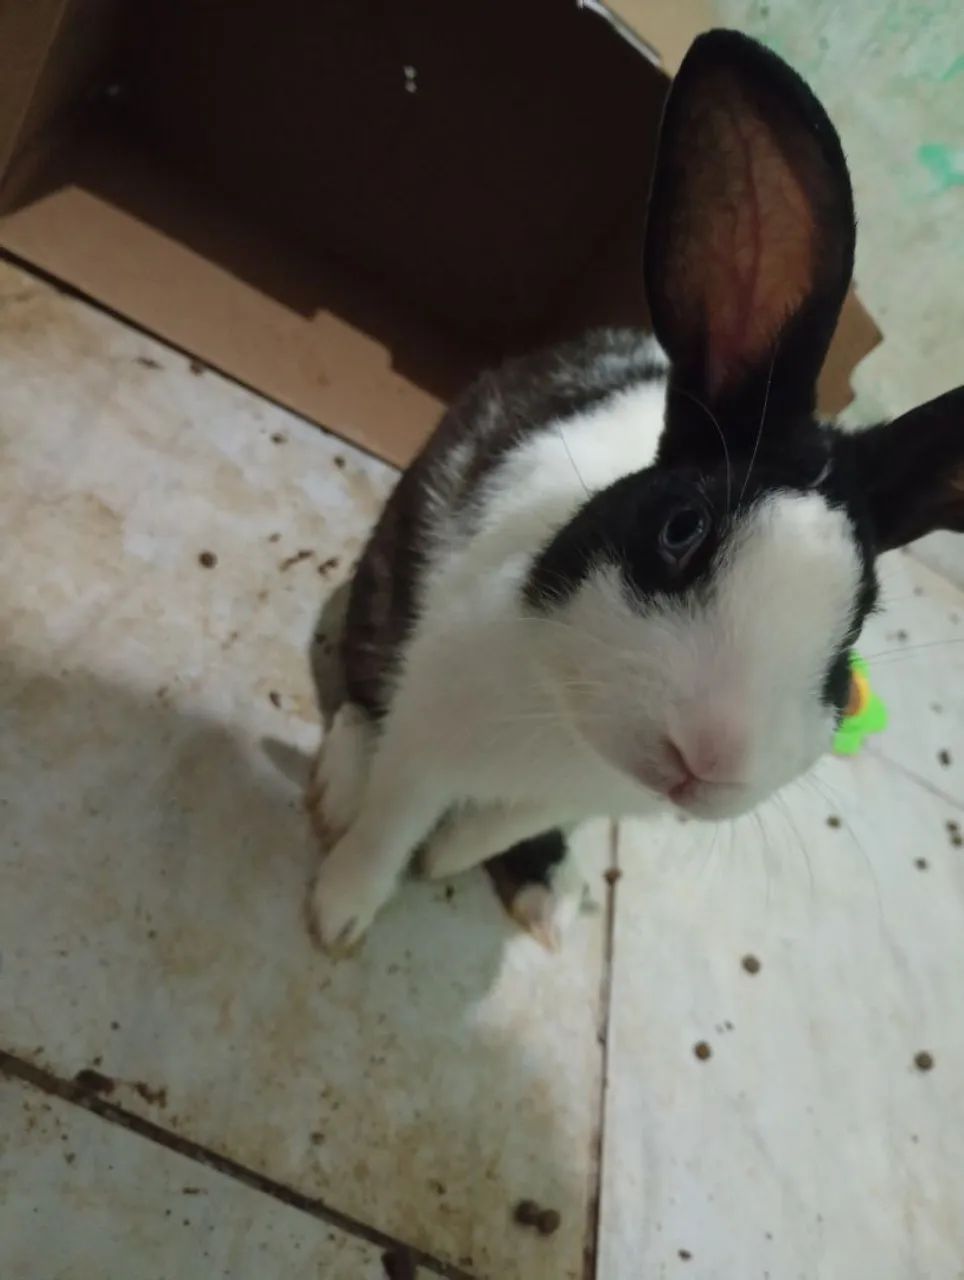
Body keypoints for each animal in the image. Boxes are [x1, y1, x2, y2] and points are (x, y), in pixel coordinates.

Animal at [306, 29, 964, 955]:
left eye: (854, 634)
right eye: (681, 529)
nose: (710, 757)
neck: (574, 735)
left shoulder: (588, 796)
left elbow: (500, 824)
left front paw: (457, 857)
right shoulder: (427, 733)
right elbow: (390, 825)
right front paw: (338, 915)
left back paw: (552, 893)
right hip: (386, 572)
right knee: (364, 692)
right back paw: (338, 787)